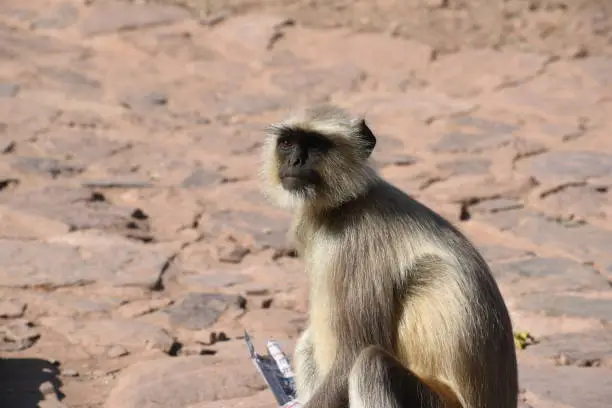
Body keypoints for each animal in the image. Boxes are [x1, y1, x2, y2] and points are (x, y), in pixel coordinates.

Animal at [258, 104, 516, 408]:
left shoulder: (358, 243)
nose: (295, 161)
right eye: (287, 143)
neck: (347, 203)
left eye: (316, 145)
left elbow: (352, 354)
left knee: (371, 365)